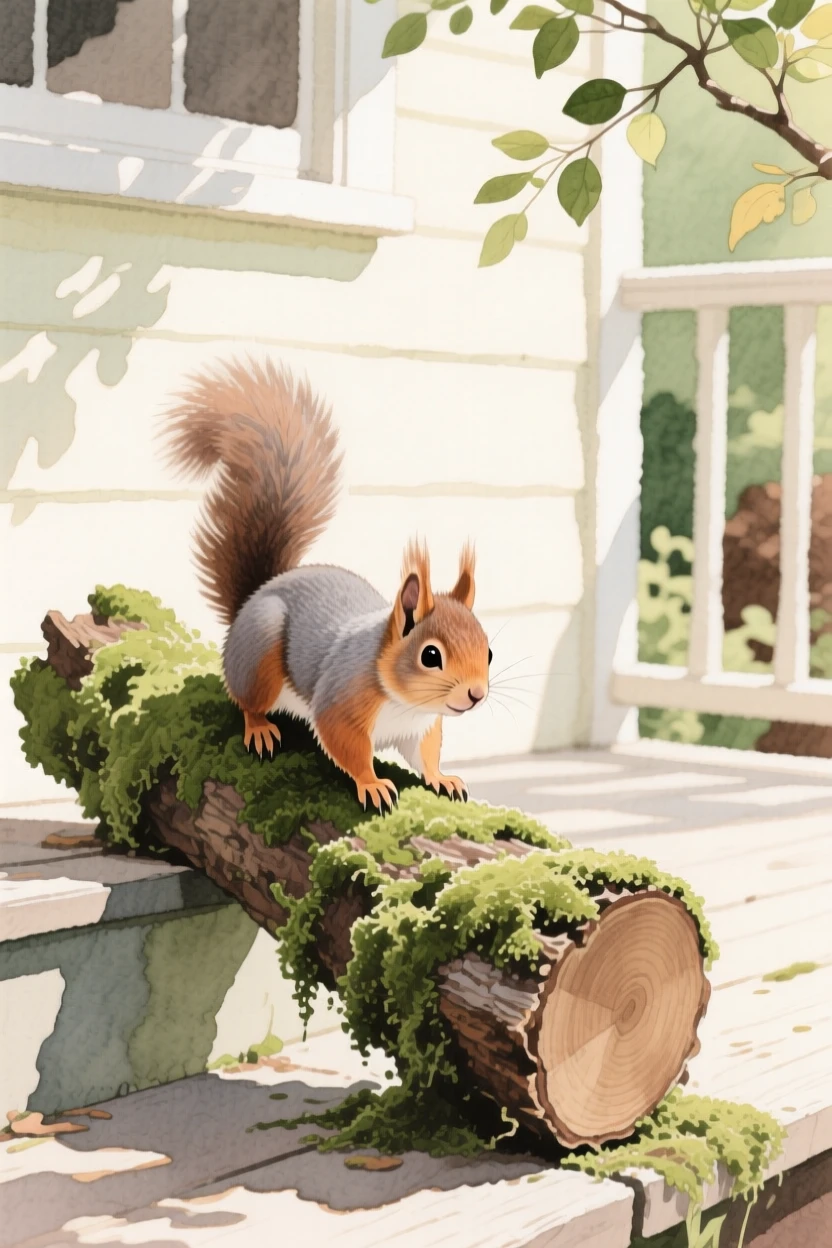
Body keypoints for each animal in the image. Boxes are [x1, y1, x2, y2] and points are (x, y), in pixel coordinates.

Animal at [163, 356, 491, 812]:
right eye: (430, 655)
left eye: (489, 652)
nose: (476, 694)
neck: (405, 703)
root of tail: (251, 601)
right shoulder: (342, 699)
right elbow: (346, 744)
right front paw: (372, 784)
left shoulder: (423, 727)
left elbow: (426, 755)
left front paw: (442, 778)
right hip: (260, 656)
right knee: (247, 701)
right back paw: (259, 728)